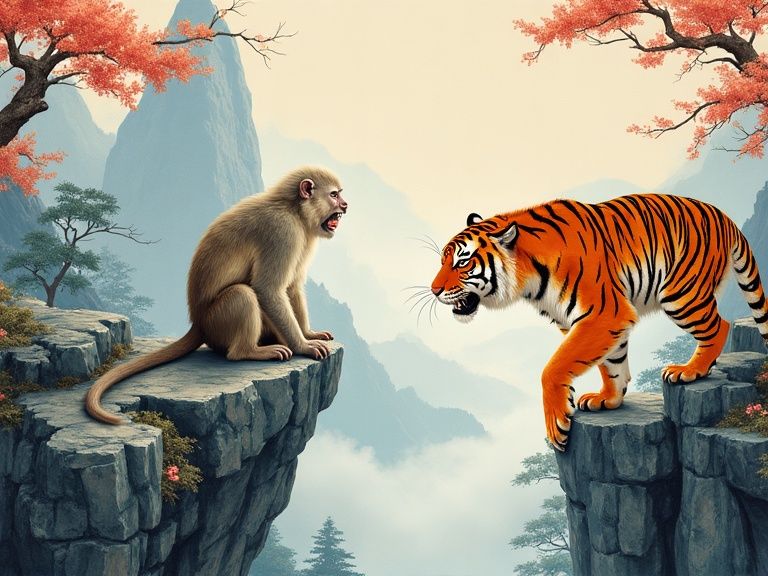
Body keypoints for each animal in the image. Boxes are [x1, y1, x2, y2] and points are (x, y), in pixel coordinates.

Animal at [430, 194, 768, 451]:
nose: (433, 290)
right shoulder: (593, 322)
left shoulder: (604, 314)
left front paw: (557, 426)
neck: (529, 279)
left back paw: (690, 370)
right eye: (443, 261)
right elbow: (611, 363)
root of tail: (724, 216)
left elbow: (555, 367)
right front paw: (608, 398)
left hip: (682, 294)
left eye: (462, 262)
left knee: (720, 326)